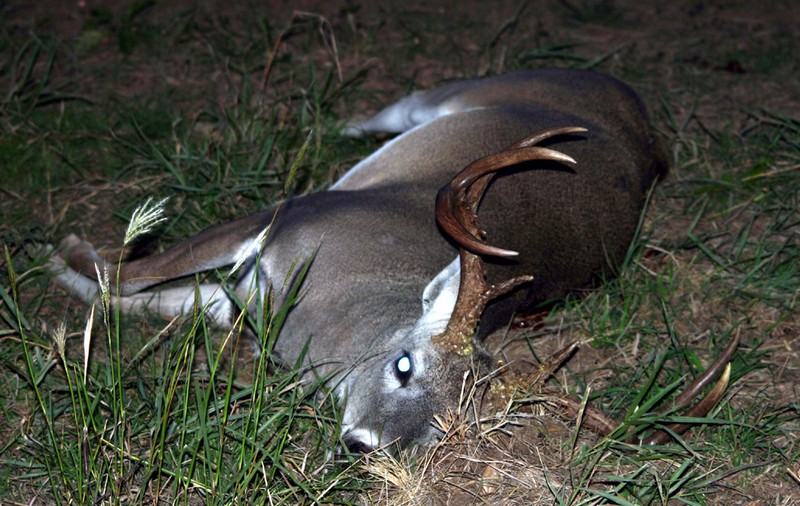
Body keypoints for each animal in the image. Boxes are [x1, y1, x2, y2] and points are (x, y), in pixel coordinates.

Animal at [49, 69, 737, 454]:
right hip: (463, 91)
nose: (363, 445)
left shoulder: (239, 294)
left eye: (448, 427)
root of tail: (648, 129)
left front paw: (67, 278)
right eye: (404, 364)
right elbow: (121, 270)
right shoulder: (293, 215)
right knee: (380, 112)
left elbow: (135, 296)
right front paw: (61, 252)